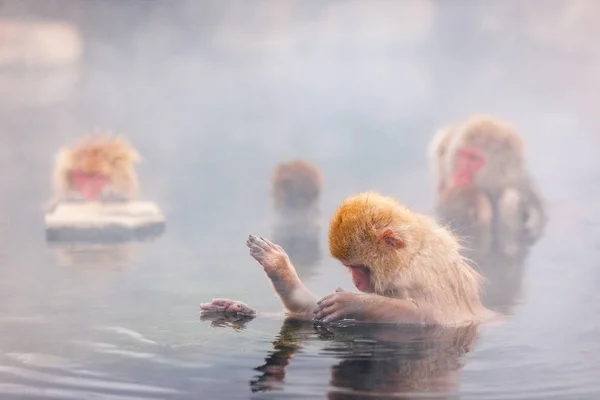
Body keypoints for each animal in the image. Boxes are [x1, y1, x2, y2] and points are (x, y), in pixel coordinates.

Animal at [199, 192, 494, 326]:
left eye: (357, 267)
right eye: (349, 267)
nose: (356, 282)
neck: (408, 256)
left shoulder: (422, 273)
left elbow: (429, 317)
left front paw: (354, 303)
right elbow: (313, 312)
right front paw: (236, 307)